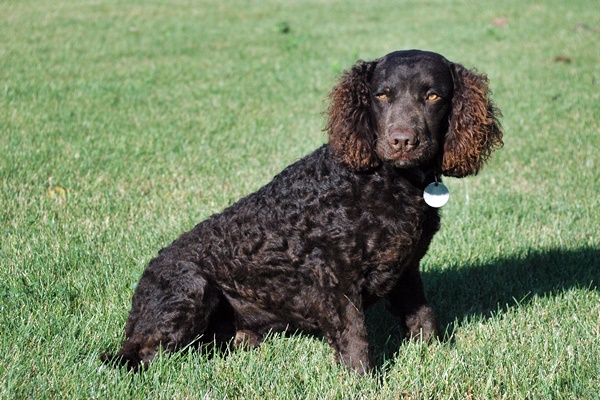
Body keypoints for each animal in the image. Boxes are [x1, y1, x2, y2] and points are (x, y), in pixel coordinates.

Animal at [104, 50, 502, 376]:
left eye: (433, 95)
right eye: (381, 95)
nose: (402, 140)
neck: (385, 180)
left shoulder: (405, 268)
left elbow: (423, 318)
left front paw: (438, 358)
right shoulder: (337, 277)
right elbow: (355, 337)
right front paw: (364, 382)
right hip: (191, 288)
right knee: (131, 355)